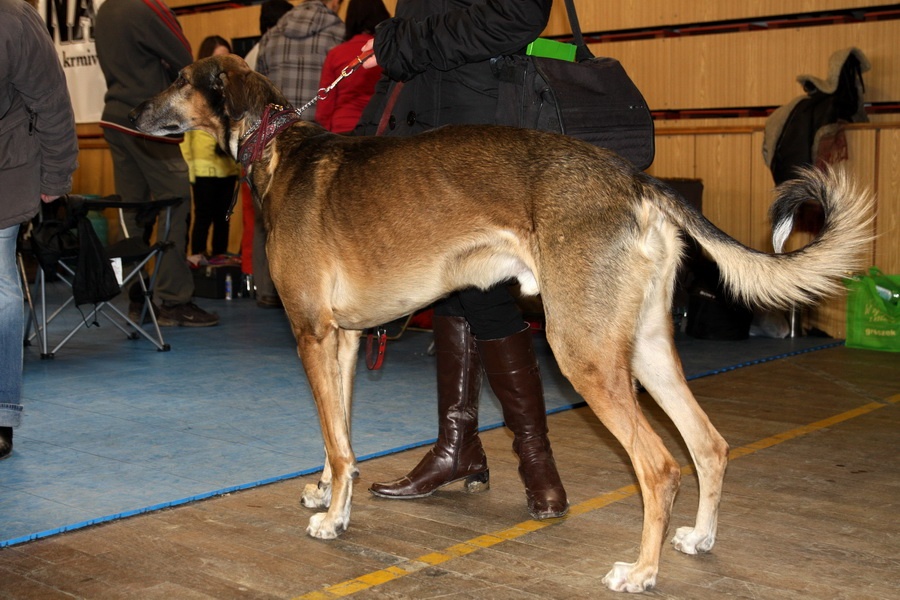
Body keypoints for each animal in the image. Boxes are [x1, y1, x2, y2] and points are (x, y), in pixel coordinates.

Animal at [130, 55, 876, 592]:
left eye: (178, 80)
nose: (133, 111)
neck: (279, 150)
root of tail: (634, 181)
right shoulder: (341, 340)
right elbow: (335, 434)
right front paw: (326, 496)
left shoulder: (312, 333)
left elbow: (339, 445)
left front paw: (335, 518)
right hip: (643, 348)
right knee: (710, 446)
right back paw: (698, 538)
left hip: (583, 353)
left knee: (661, 466)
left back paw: (641, 571)